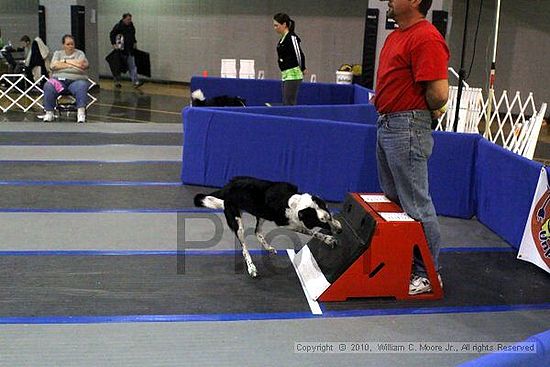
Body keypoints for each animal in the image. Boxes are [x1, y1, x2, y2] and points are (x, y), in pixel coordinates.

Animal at [194, 177, 340, 278]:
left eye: (329, 216)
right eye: (322, 222)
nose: (340, 230)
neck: (291, 200)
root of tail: (226, 187)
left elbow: (313, 231)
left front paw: (330, 237)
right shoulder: (288, 224)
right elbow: (311, 231)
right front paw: (328, 238)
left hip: (261, 214)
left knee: (257, 232)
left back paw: (268, 247)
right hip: (238, 222)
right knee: (244, 248)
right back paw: (251, 267)